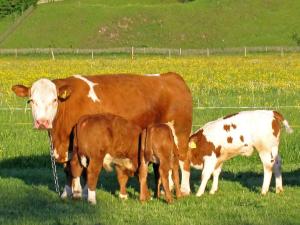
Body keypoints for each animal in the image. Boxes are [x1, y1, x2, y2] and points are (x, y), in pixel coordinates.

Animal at [11, 73, 192, 198]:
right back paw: (164, 190)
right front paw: (67, 194)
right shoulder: (67, 147)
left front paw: (82, 193)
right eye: (31, 101)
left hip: (180, 134)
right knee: (164, 164)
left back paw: (184, 190)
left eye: (54, 99)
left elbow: (83, 171)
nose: (42, 122)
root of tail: (170, 76)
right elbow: (69, 170)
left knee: (183, 160)